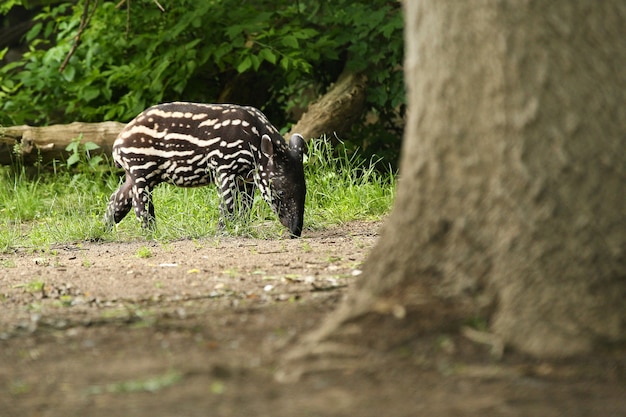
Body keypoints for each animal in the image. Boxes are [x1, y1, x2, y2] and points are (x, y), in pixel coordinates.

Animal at [103, 101, 306, 237]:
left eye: (305, 190)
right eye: (280, 191)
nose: (295, 232)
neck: (255, 143)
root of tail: (118, 142)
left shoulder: (248, 178)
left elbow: (246, 206)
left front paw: (242, 227)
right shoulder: (224, 167)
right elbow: (228, 204)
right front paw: (224, 231)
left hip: (140, 174)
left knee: (117, 198)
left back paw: (103, 230)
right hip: (140, 168)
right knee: (140, 204)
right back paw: (151, 234)